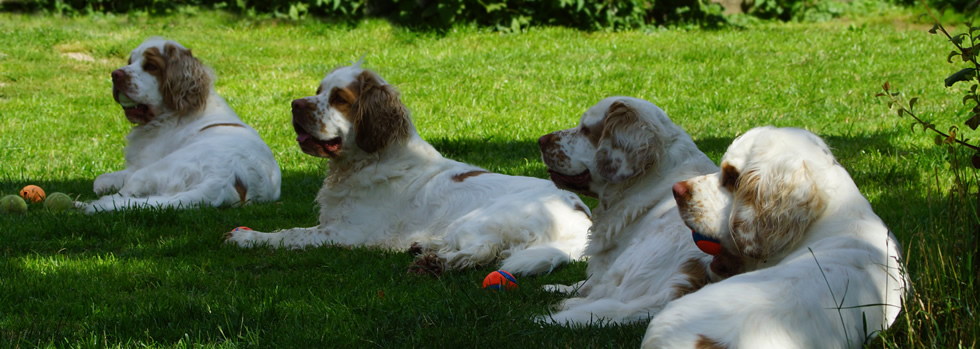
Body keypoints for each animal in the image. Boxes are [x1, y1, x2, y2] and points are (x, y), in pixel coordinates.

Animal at [82, 37, 282, 212]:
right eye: (130, 61)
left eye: (151, 66)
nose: (115, 74)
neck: (174, 113)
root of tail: (221, 181)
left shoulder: (138, 166)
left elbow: (99, 180)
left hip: (152, 171)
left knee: (124, 196)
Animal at [224, 61, 588, 274]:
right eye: (318, 92)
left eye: (339, 98)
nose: (295, 105)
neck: (367, 160)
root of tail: (582, 217)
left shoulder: (345, 233)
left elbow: (290, 234)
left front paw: (246, 237)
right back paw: (424, 248)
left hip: (480, 219)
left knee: (483, 250)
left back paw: (435, 261)